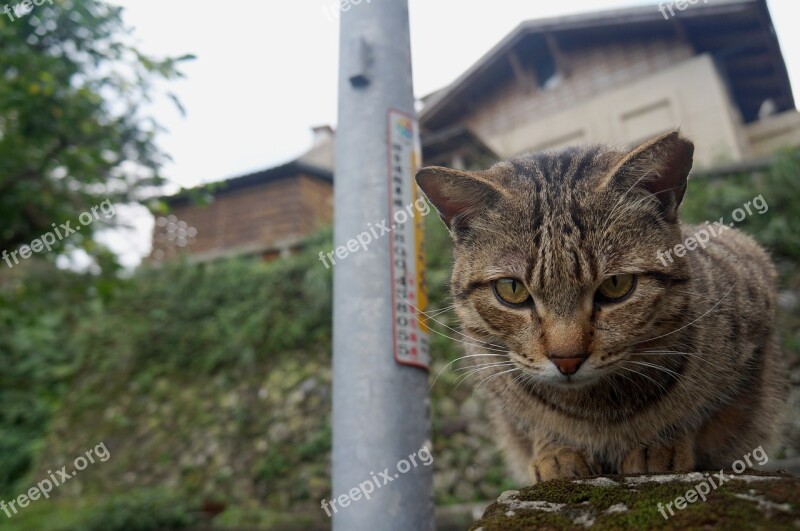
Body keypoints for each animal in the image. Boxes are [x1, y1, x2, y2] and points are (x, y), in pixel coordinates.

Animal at [418, 132, 788, 482]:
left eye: (616, 285)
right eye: (512, 289)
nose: (567, 360)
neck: (596, 410)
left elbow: (708, 416)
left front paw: (659, 443)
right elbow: (531, 423)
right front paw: (557, 451)